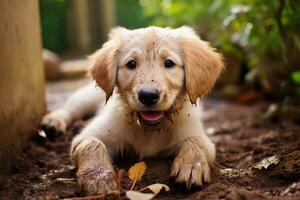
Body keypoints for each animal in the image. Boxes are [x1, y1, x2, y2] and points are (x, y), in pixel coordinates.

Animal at [41, 25, 224, 195]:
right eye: (131, 64)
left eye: (169, 63)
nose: (148, 95)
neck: (149, 131)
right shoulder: (85, 136)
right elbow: (92, 143)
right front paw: (98, 177)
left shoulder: (200, 137)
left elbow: (194, 141)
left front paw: (192, 165)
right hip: (86, 97)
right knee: (69, 108)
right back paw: (53, 122)